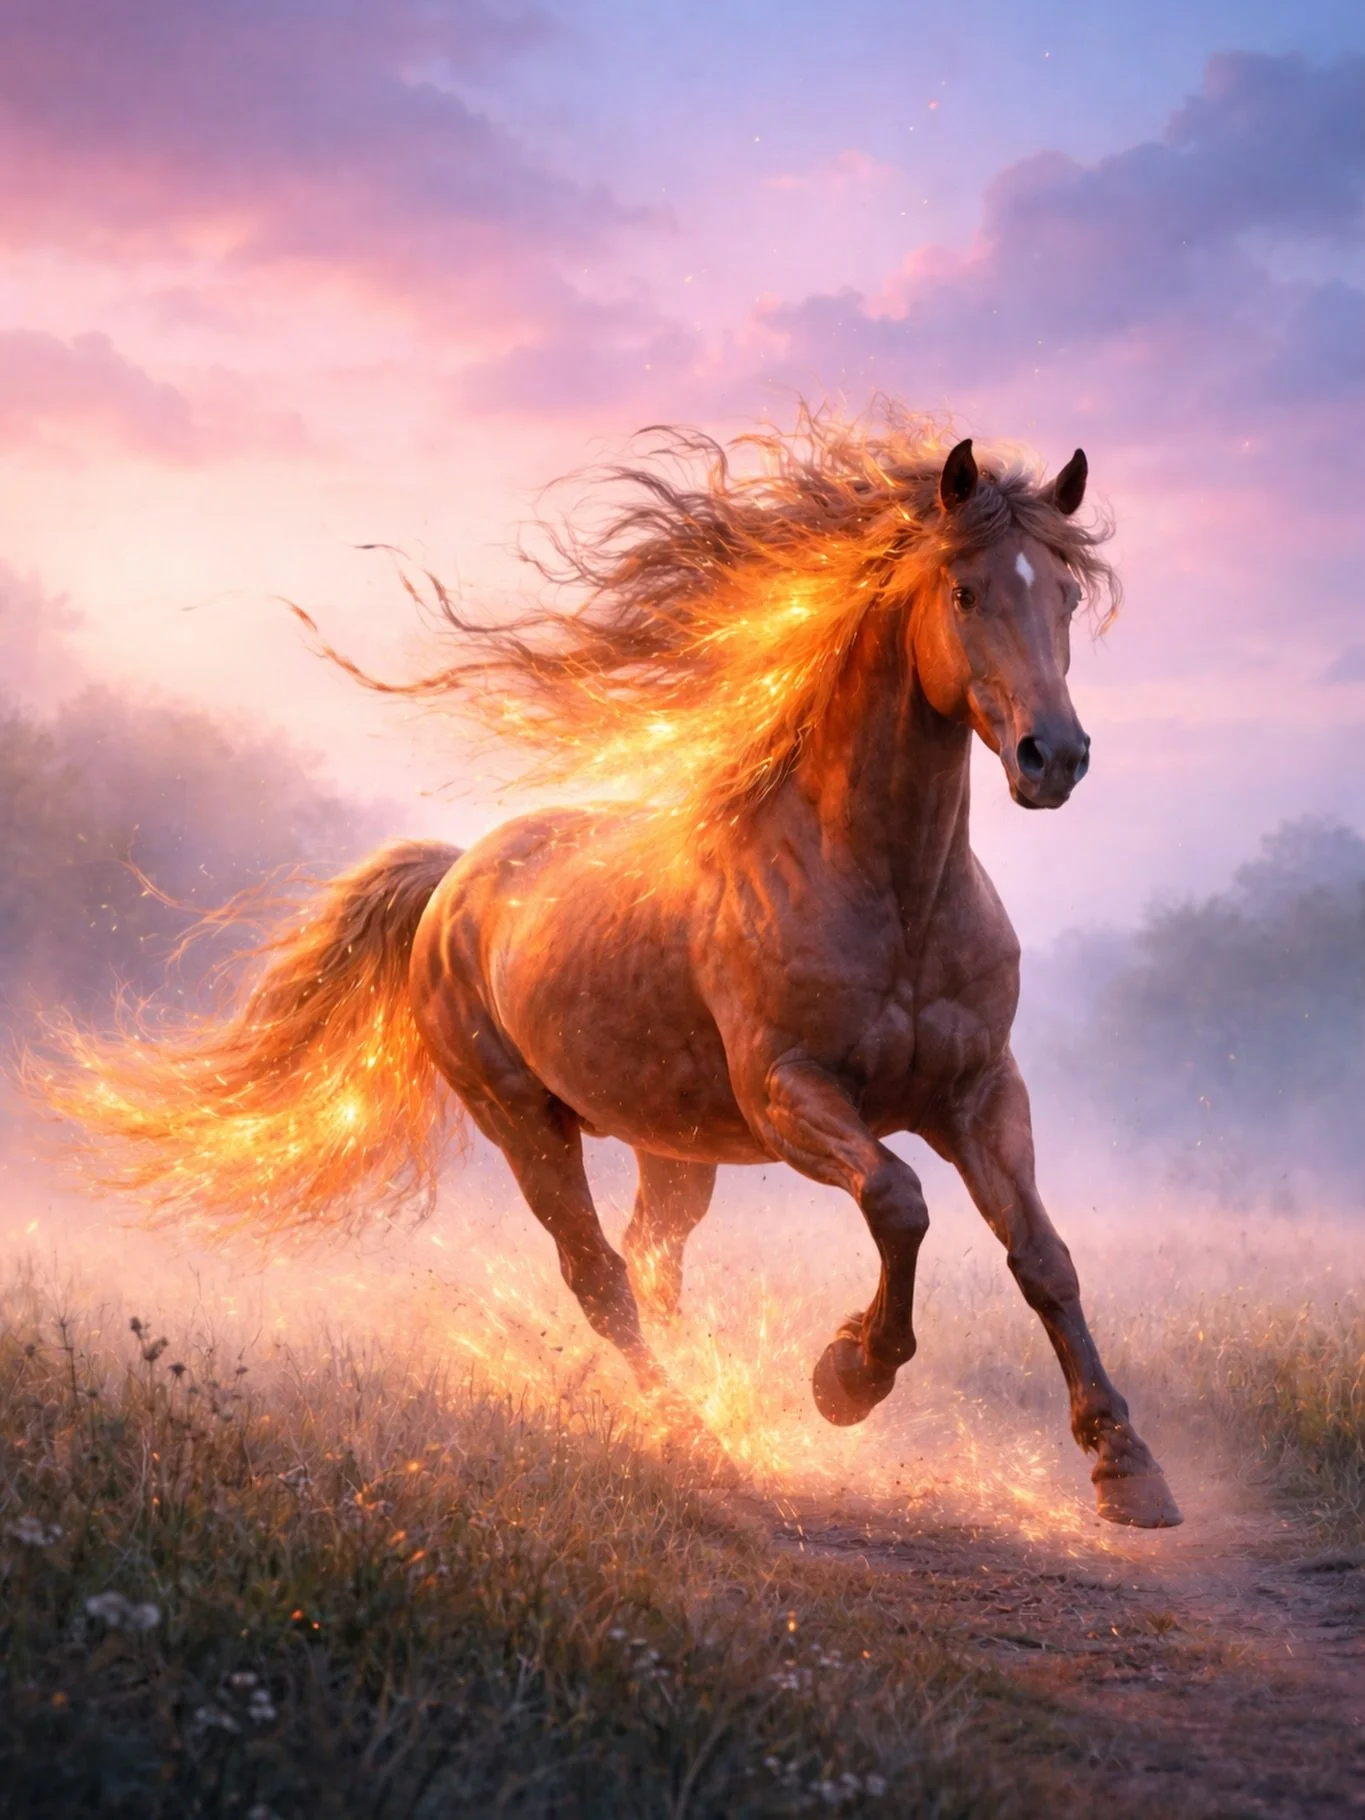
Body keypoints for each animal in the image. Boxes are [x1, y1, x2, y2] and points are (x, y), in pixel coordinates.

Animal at [39, 411, 1181, 1529]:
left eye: (1067, 592)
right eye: (964, 590)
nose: (1053, 757)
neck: (884, 888)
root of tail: (453, 879)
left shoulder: (979, 1090)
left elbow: (1041, 1254)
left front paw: (1125, 1466)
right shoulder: (789, 1094)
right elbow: (898, 1202)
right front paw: (847, 1375)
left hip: (673, 1148)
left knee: (653, 1265)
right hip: (524, 1125)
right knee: (602, 1278)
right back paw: (696, 1443)